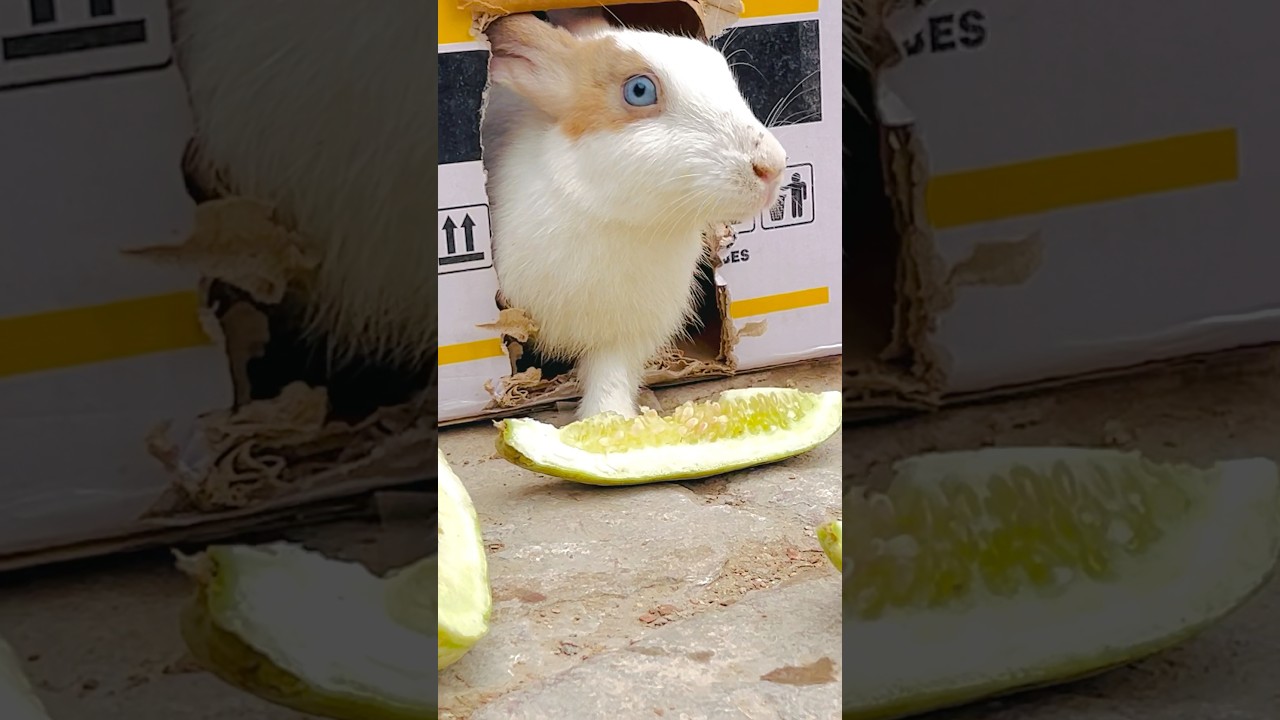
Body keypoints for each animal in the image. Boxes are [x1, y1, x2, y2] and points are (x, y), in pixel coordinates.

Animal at [481, 11, 787, 419]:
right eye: (639, 90)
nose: (773, 166)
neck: (618, 220)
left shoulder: (625, 336)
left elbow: (610, 375)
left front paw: (607, 420)